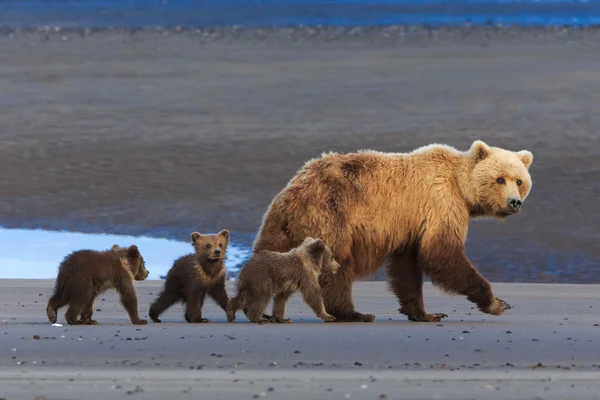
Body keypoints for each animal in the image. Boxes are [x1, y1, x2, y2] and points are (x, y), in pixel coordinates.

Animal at [253, 140, 536, 322]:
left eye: (519, 180)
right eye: (499, 179)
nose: (515, 202)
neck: (461, 187)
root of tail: (293, 191)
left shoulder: (411, 226)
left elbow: (407, 268)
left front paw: (425, 313)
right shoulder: (440, 204)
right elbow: (441, 254)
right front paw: (496, 303)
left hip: (280, 225)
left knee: (267, 254)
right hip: (331, 215)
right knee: (338, 265)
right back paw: (353, 313)